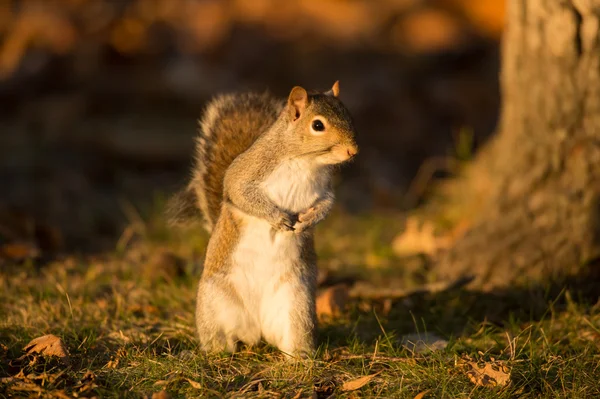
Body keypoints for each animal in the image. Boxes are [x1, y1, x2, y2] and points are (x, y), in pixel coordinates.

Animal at [166, 82, 358, 360]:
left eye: (348, 114)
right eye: (318, 125)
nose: (353, 150)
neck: (306, 161)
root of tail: (254, 330)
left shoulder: (324, 190)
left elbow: (326, 205)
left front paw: (308, 221)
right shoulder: (246, 172)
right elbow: (240, 193)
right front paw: (277, 217)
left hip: (296, 306)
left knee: (292, 337)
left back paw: (299, 358)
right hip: (214, 305)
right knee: (219, 339)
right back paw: (213, 354)